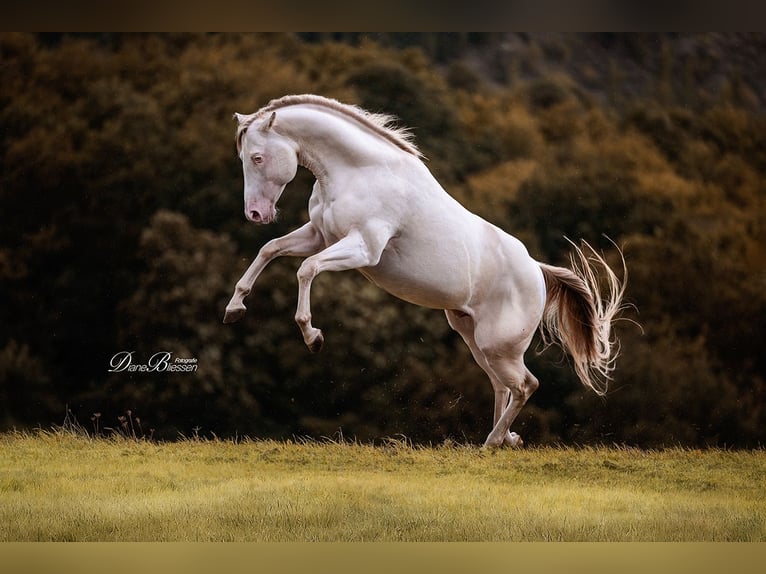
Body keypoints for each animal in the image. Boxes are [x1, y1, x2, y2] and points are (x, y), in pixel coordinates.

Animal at [223, 94, 625, 448]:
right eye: (243, 158)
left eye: (257, 158)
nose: (255, 214)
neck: (360, 171)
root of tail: (538, 272)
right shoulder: (318, 235)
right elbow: (269, 249)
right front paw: (234, 308)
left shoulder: (364, 248)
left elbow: (306, 270)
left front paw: (312, 336)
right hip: (474, 339)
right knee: (503, 386)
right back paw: (505, 439)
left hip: (499, 346)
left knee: (526, 385)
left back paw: (494, 441)